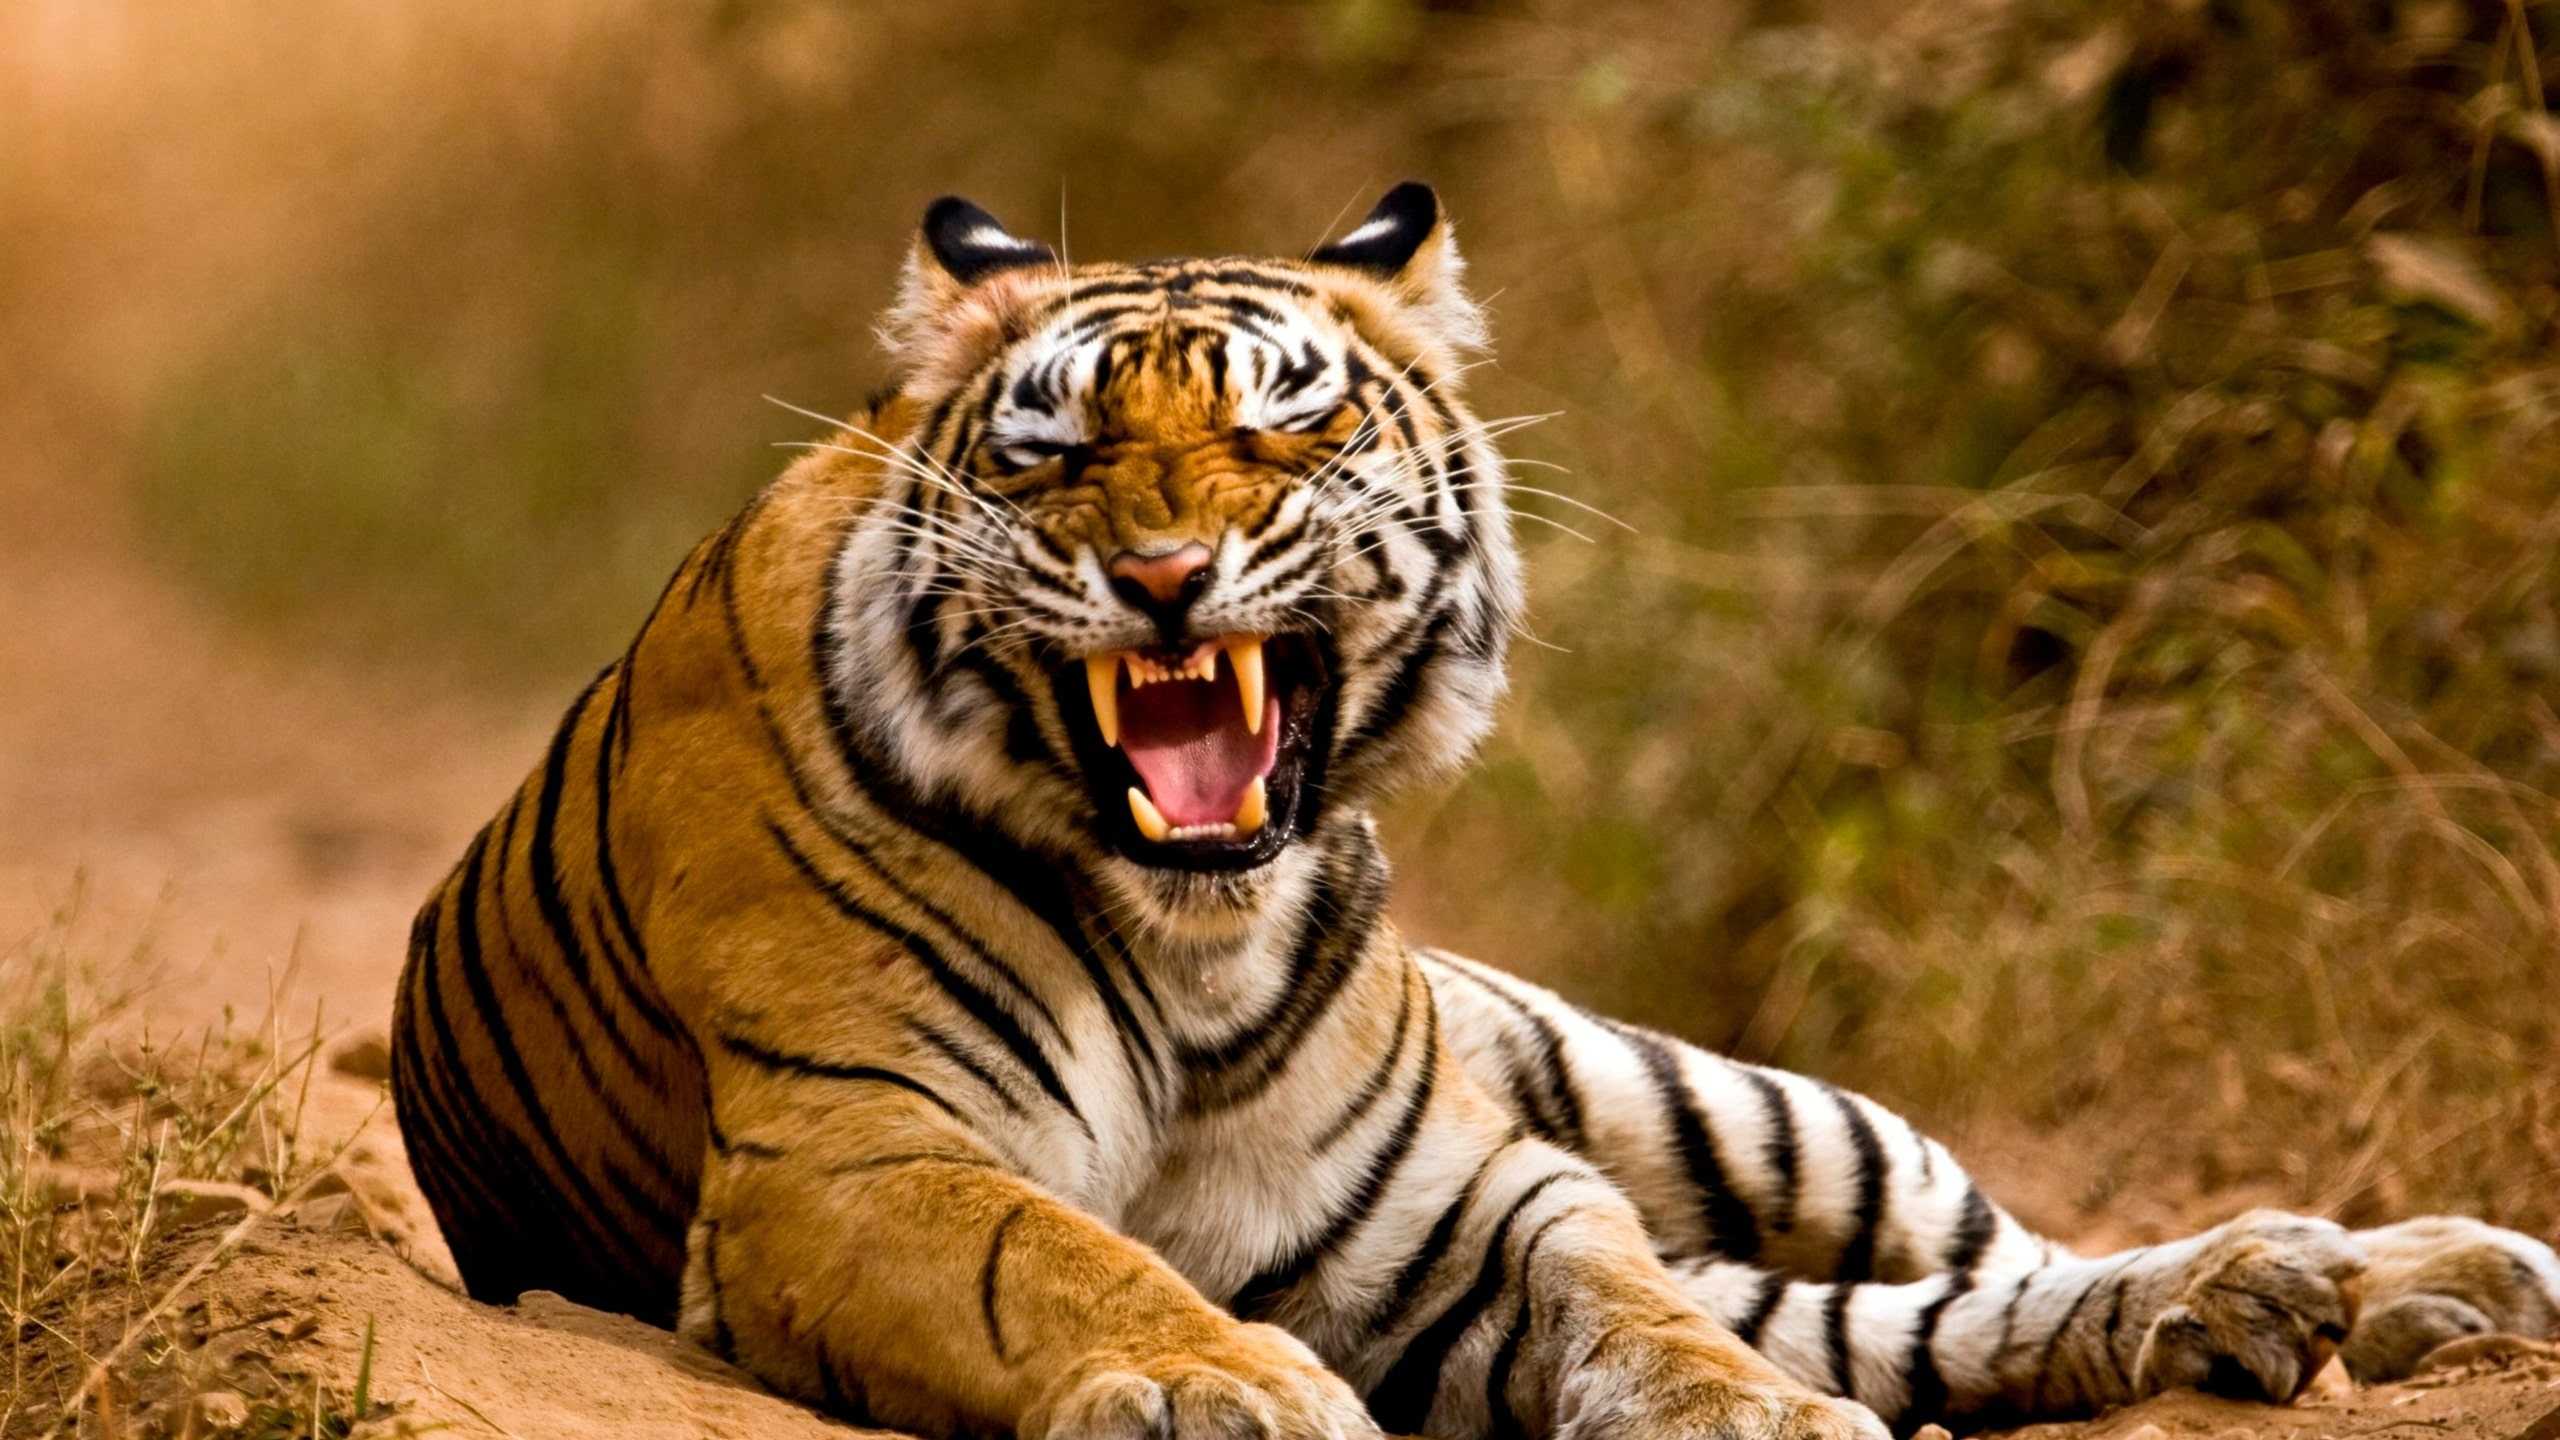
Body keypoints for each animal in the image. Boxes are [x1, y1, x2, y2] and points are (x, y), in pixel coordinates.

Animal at [388, 184, 2560, 1440]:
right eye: (1058, 450)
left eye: (1286, 422)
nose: (1164, 575)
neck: (1190, 941)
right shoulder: (850, 1158)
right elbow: (1056, 1258)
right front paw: (1217, 1384)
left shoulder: (1463, 1194)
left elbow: (1640, 1306)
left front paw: (1749, 1423)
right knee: (1902, 1311)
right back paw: (2274, 1305)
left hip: (1710, 1096)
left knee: (1963, 1252)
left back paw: (2383, 1281)